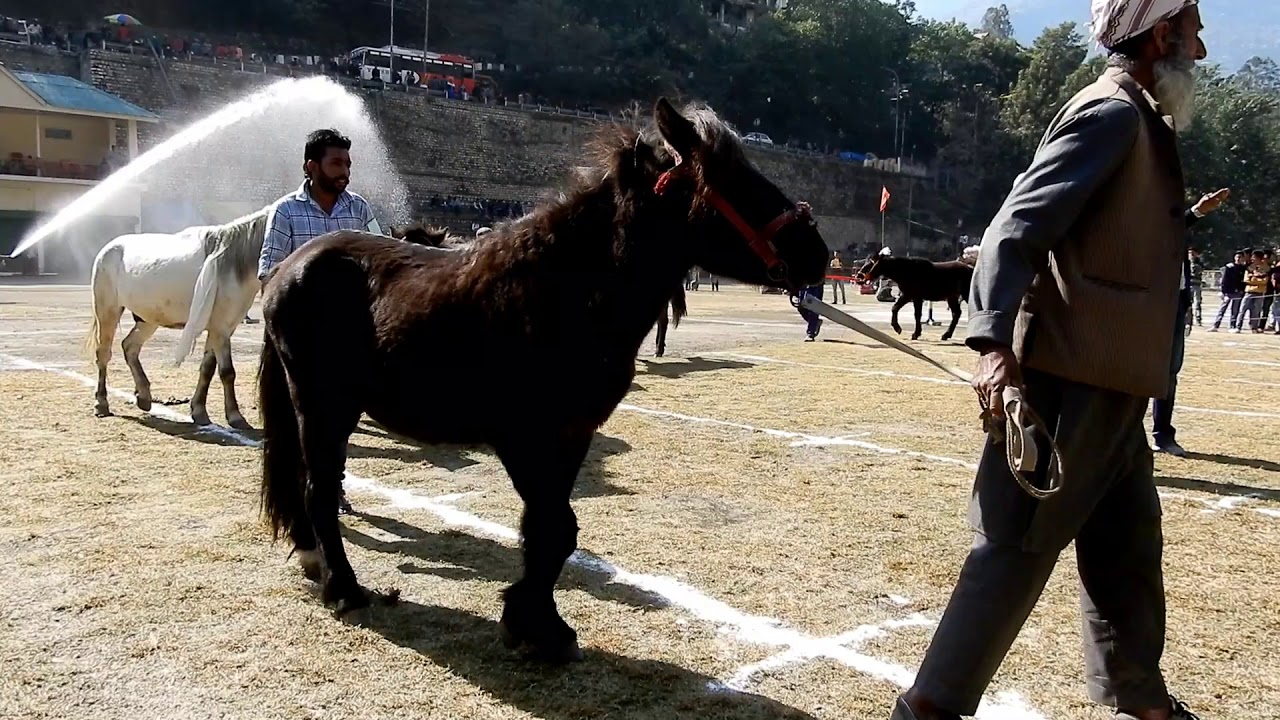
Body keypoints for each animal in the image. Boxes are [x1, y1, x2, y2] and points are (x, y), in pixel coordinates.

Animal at [86, 209, 270, 429]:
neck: (232, 263)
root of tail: (107, 249)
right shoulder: (221, 329)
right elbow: (227, 372)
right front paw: (235, 416)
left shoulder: (219, 329)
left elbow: (207, 368)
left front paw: (199, 411)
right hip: (108, 311)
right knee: (103, 354)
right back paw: (101, 404)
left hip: (148, 319)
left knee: (129, 346)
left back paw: (144, 397)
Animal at [256, 98, 829, 660]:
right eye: (734, 180)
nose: (817, 254)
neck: (562, 291)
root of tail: (289, 267)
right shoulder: (524, 437)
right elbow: (551, 528)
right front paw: (538, 627)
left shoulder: (573, 435)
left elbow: (556, 530)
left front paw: (537, 621)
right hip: (323, 407)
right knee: (319, 489)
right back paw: (344, 589)